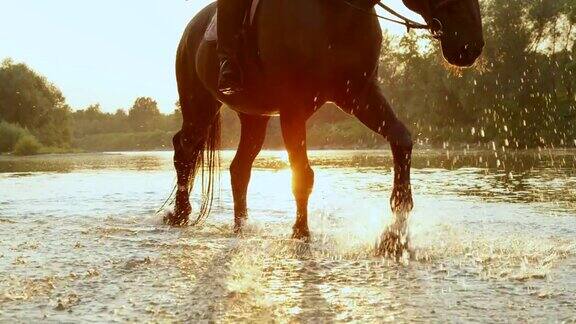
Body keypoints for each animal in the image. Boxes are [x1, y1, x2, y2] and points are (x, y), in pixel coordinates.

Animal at [165, 0, 482, 251]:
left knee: (239, 168)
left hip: (254, 117)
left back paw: (241, 226)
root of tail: (191, 28)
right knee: (185, 149)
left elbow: (401, 139)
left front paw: (395, 235)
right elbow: (302, 174)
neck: (334, 10)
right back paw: (180, 214)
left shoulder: (359, 96)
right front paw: (301, 233)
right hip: (200, 106)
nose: (472, 46)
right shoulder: (293, 109)